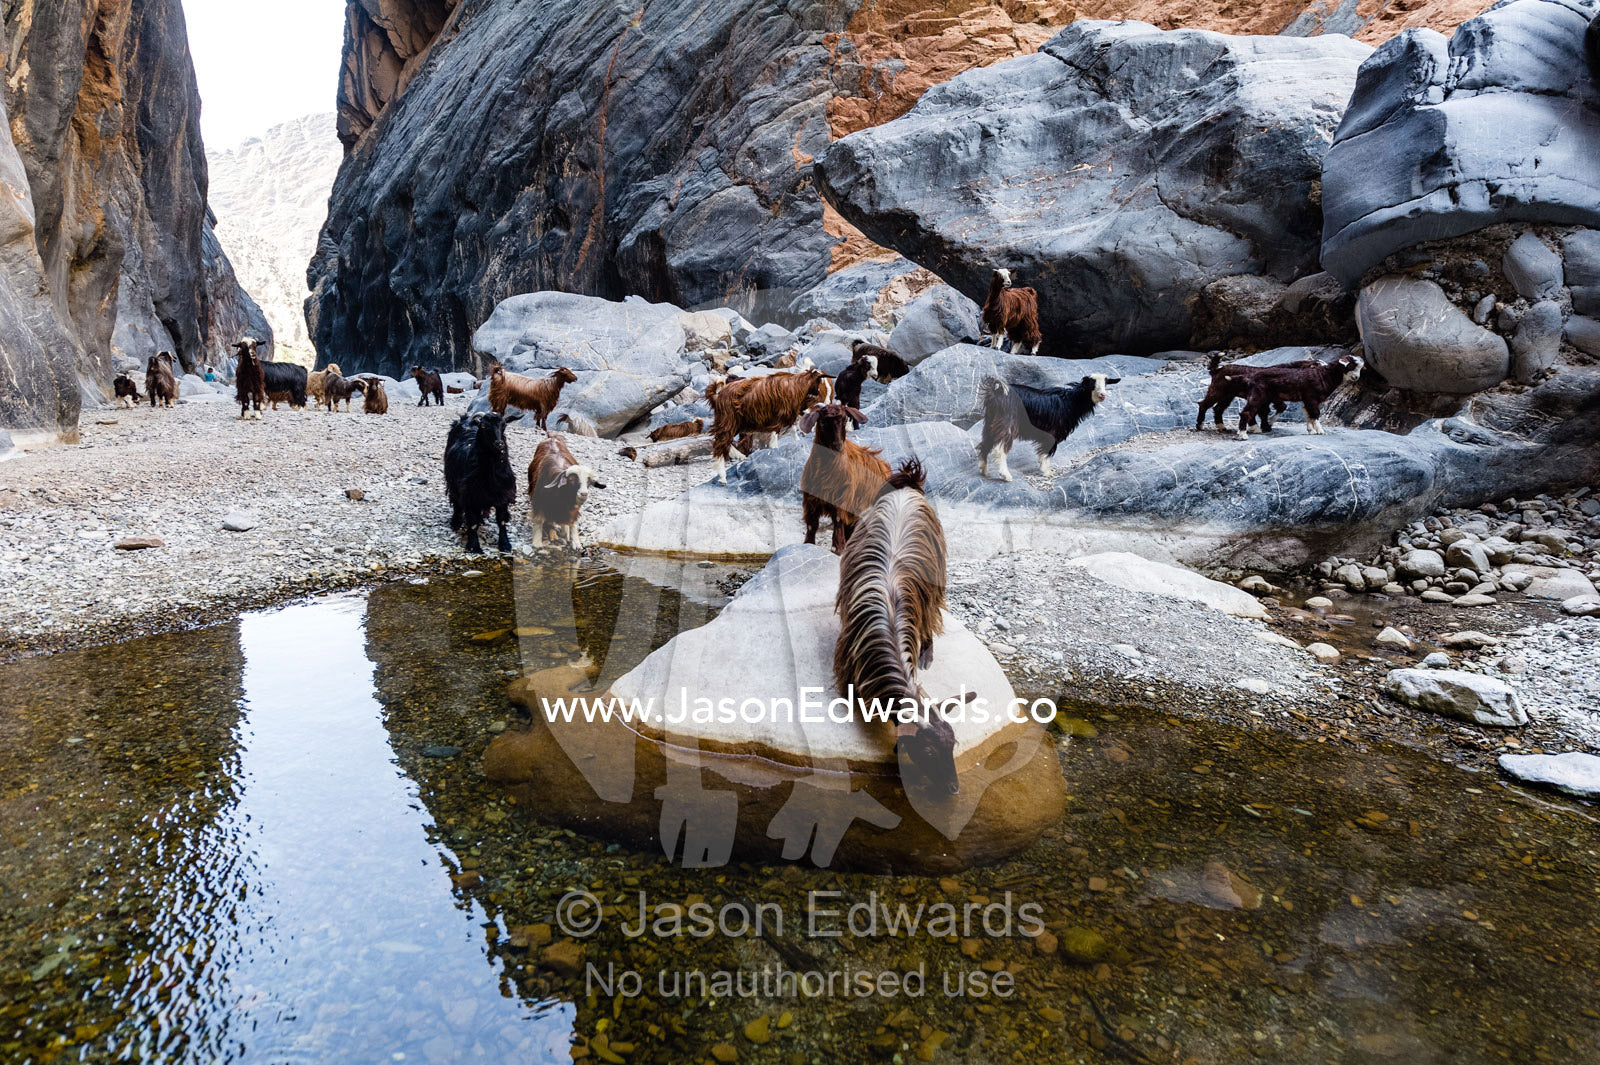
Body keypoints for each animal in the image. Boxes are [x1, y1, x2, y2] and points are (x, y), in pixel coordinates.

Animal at [443, 411, 524, 554]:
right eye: (484, 426)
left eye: (504, 425)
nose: (499, 444)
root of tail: (465, 420)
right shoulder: (470, 494)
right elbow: (472, 522)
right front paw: (474, 546)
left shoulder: (503, 494)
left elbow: (501, 520)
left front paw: (505, 544)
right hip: (452, 481)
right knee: (456, 502)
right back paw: (455, 522)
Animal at [800, 403, 889, 552]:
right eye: (822, 422)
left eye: (845, 419)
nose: (837, 445)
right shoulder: (811, 501)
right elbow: (812, 524)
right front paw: (808, 544)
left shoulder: (842, 499)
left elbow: (838, 522)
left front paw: (837, 548)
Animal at [834, 459, 961, 795]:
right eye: (928, 751)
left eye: (954, 744)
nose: (954, 788)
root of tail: (908, 484)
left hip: (936, 577)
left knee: (932, 615)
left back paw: (927, 653)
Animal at [979, 374, 1117, 482]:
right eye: (1091, 383)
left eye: (1106, 383)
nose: (1102, 395)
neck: (1070, 402)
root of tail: (996, 393)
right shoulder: (1052, 433)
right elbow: (1046, 453)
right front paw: (1047, 472)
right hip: (1007, 423)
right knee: (999, 448)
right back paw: (1005, 475)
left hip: (991, 422)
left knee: (985, 443)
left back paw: (984, 471)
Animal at [1234, 355, 1363, 441]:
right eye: (1351, 365)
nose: (1357, 377)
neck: (1323, 376)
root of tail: (1252, 377)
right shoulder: (1312, 397)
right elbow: (1315, 414)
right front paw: (1320, 431)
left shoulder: (1309, 400)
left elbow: (1308, 414)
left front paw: (1311, 431)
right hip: (1258, 395)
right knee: (1246, 412)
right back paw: (1243, 435)